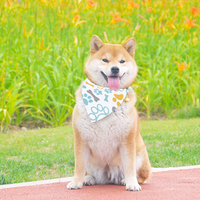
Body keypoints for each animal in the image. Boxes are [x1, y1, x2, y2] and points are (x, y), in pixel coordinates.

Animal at [66, 35, 151, 191]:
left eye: (122, 61)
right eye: (105, 60)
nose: (115, 68)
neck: (106, 99)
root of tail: (109, 177)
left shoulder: (127, 141)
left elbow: (129, 167)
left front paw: (131, 183)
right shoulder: (81, 141)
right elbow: (79, 166)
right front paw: (76, 182)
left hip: (141, 154)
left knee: (140, 175)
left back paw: (124, 180)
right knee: (89, 172)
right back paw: (88, 179)